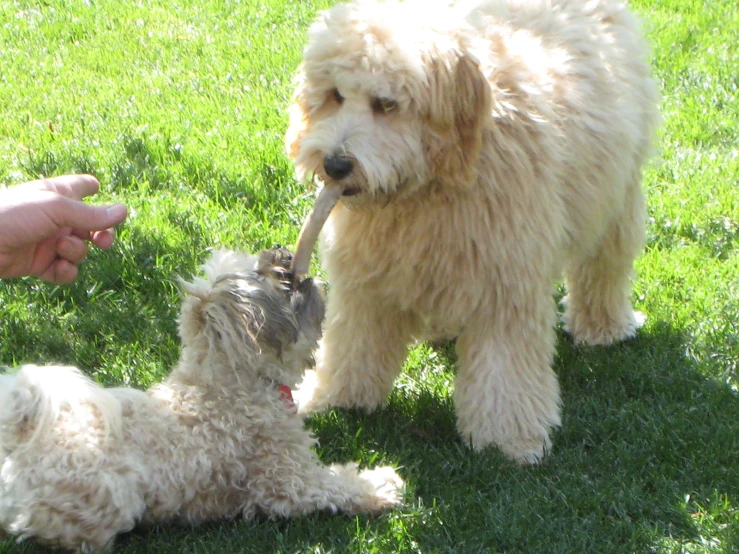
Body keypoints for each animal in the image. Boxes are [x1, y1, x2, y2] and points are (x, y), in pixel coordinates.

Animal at [0, 248, 402, 548]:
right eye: (265, 274)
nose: (284, 254)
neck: (231, 383)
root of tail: (21, 438)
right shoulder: (287, 482)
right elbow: (336, 486)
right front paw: (381, 486)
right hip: (110, 496)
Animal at [288, 0, 660, 462]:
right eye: (335, 96)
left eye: (385, 104)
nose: (336, 164)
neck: (424, 191)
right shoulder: (367, 278)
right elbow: (355, 342)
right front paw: (337, 398)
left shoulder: (505, 279)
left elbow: (503, 368)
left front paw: (507, 440)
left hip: (616, 195)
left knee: (605, 266)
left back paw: (603, 328)